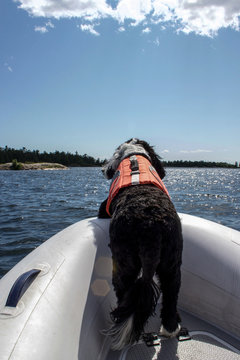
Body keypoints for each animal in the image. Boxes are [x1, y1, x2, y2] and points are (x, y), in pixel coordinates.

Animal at [98, 138, 183, 348]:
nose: (103, 169)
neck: (134, 156)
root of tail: (150, 226)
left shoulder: (104, 206)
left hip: (124, 262)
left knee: (123, 291)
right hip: (172, 263)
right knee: (171, 297)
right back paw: (171, 327)